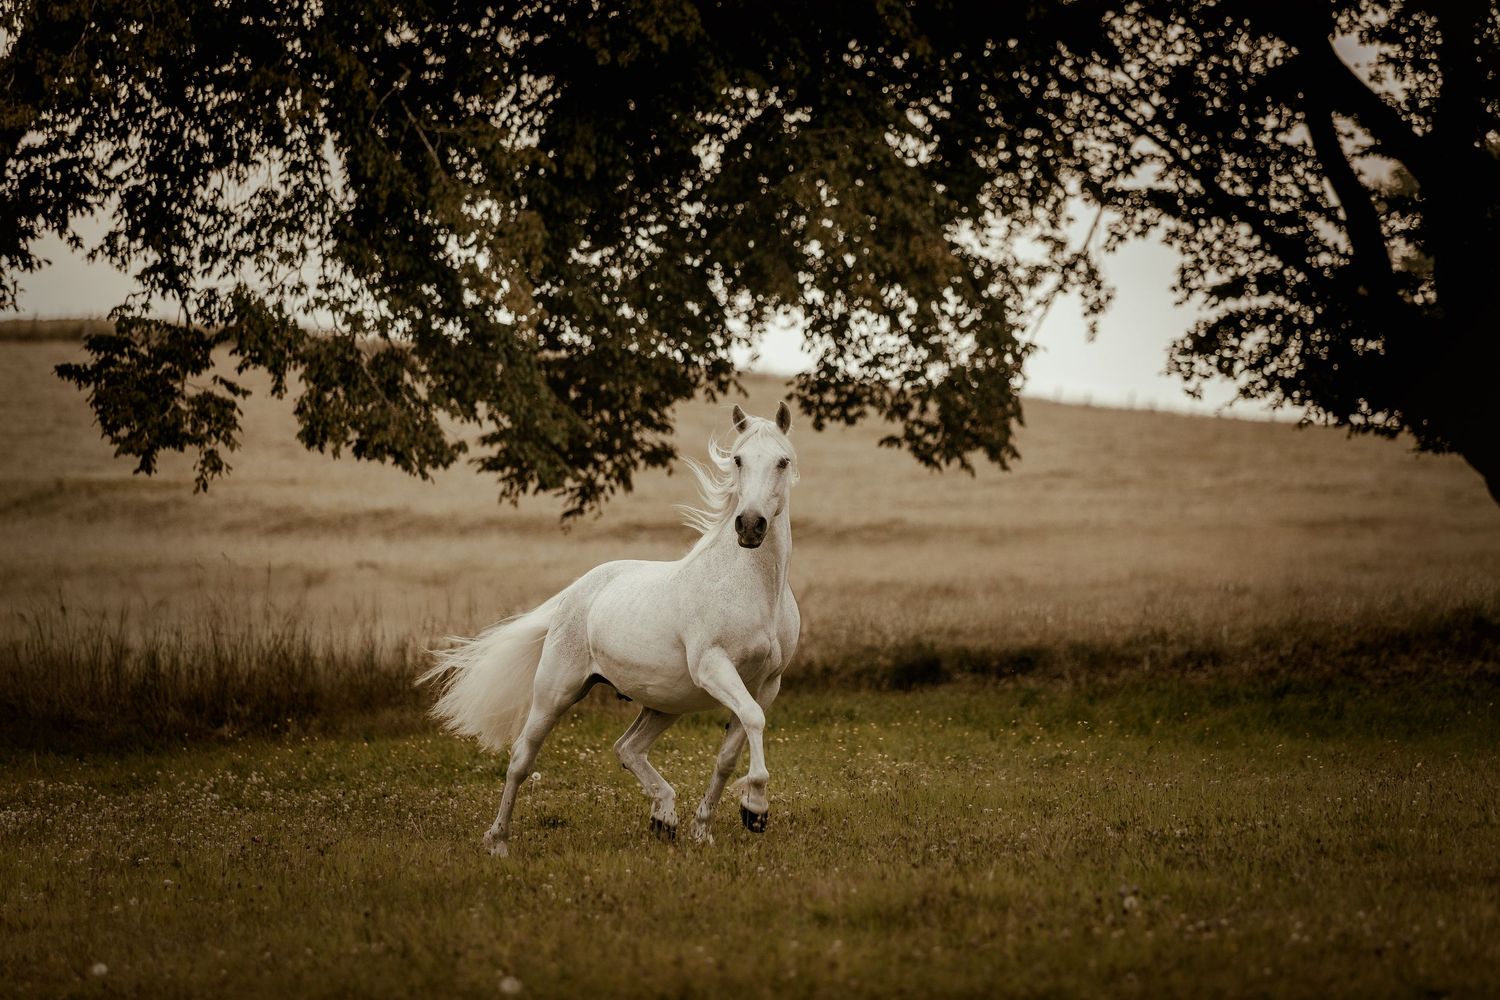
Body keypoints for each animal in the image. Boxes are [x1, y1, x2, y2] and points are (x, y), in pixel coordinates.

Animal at [420, 402, 801, 856]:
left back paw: (664, 817)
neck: (754, 588)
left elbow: (732, 748)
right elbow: (754, 722)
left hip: (664, 702)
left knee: (627, 748)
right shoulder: (714, 667)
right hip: (556, 692)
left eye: (783, 461)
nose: (750, 526)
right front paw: (757, 806)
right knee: (521, 760)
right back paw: (498, 842)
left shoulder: (767, 682)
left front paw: (710, 827)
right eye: (739, 460)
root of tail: (575, 592)